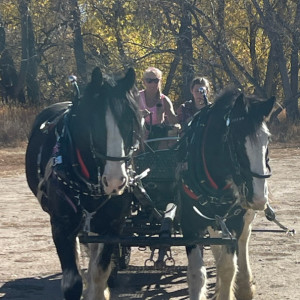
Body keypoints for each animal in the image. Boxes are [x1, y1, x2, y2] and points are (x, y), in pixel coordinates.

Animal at [25, 67, 142, 300]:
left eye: (130, 121)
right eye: (94, 124)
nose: (115, 180)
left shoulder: (113, 225)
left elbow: (99, 272)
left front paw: (98, 290)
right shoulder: (61, 225)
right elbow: (72, 282)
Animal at [177, 89, 276, 300]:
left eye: (268, 139)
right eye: (236, 140)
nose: (259, 198)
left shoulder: (234, 221)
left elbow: (228, 267)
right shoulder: (189, 223)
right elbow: (197, 273)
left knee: (244, 239)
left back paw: (245, 284)